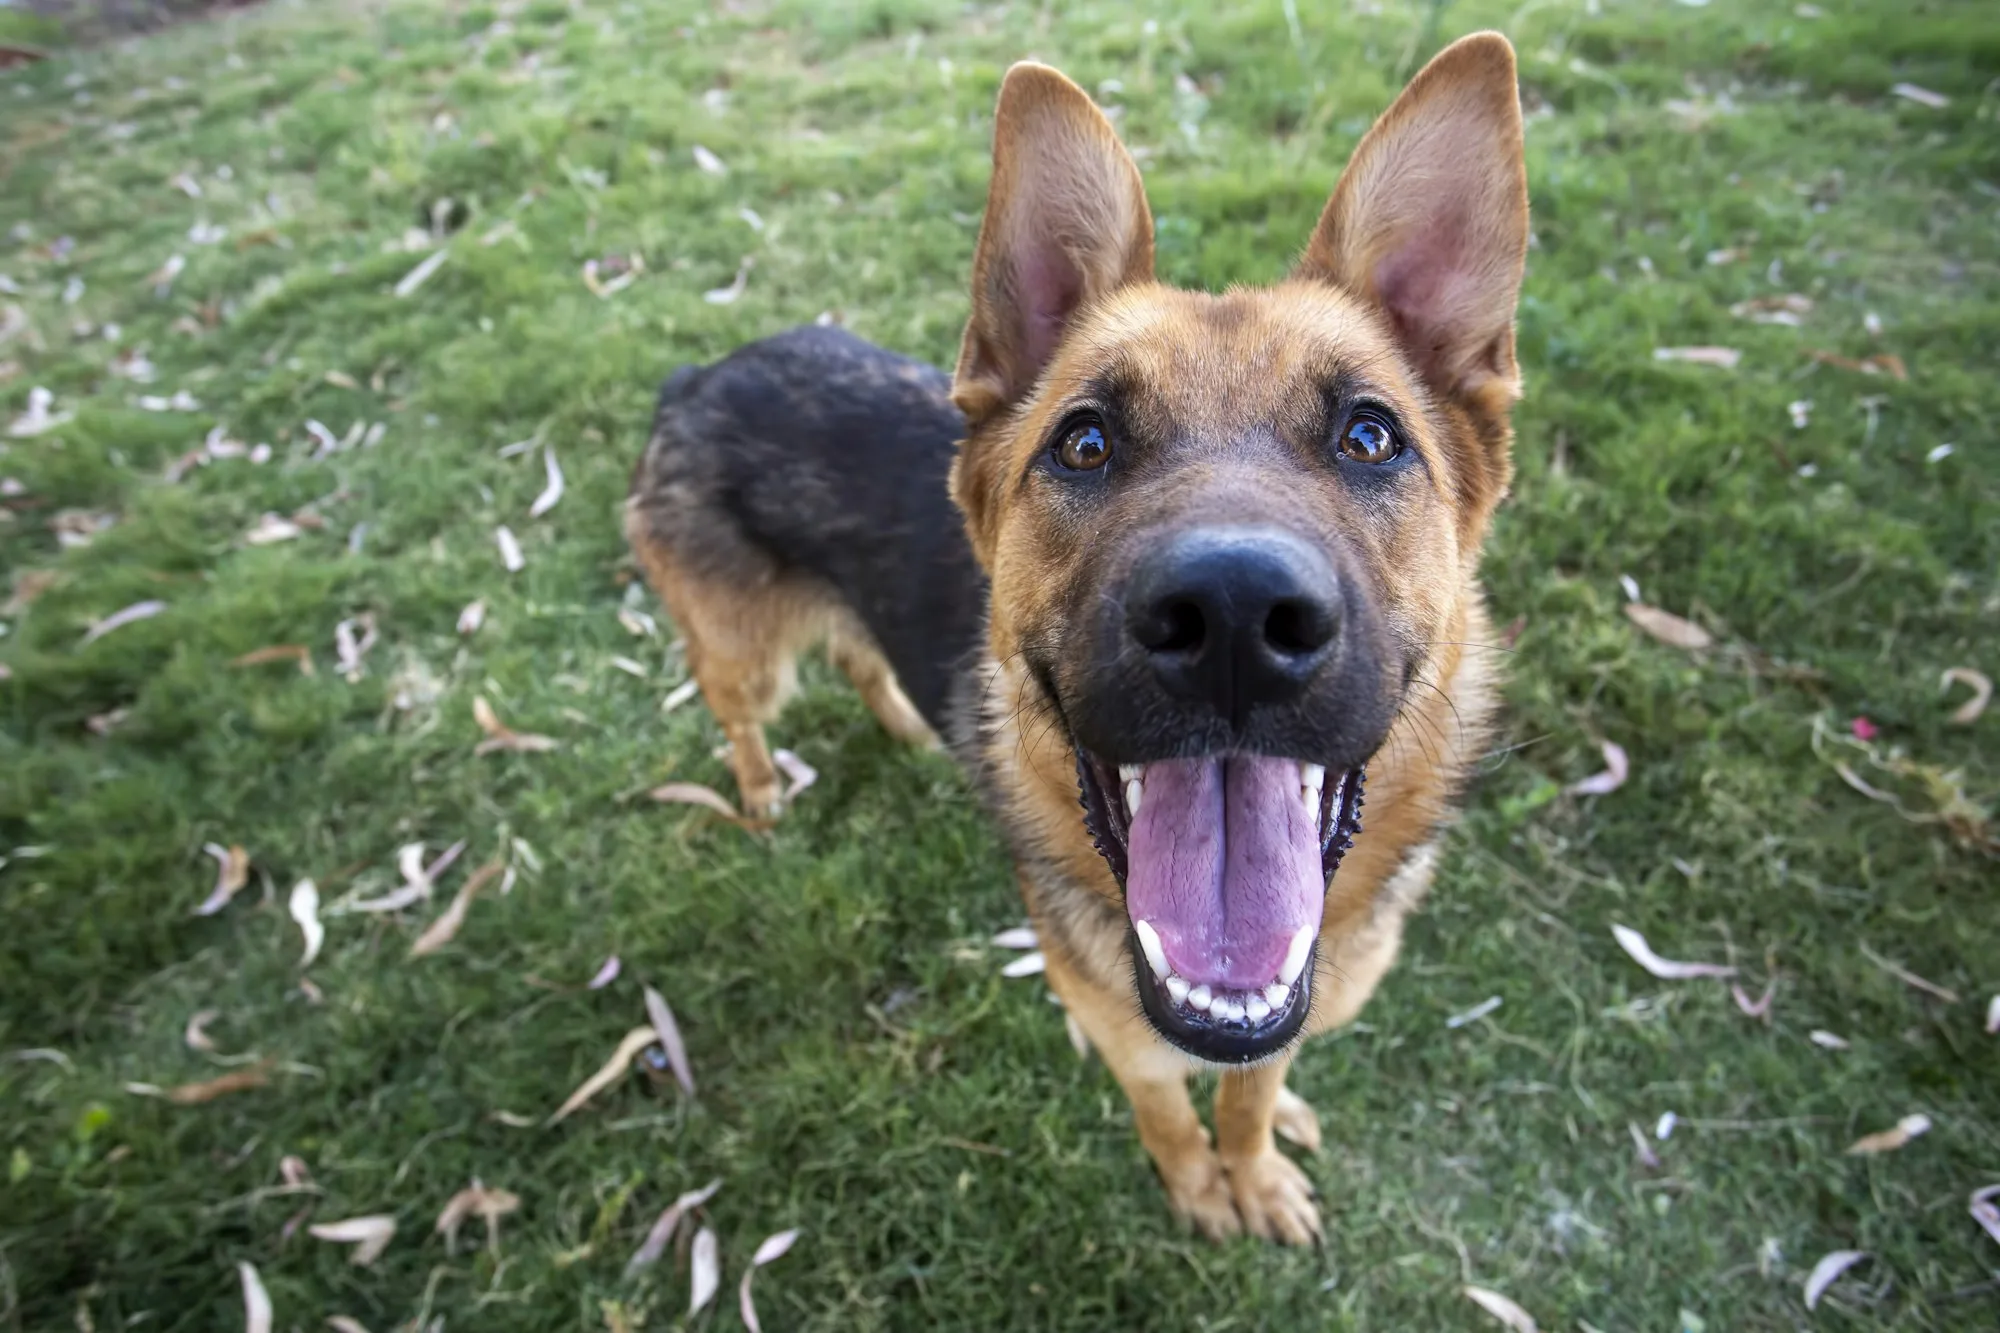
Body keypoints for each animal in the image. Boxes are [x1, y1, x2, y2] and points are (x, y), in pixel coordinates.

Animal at [628, 33, 1528, 1232]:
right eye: (1085, 443)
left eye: (1370, 436)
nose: (1234, 618)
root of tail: (700, 372)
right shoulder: (1120, 1034)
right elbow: (1168, 1112)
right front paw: (1203, 1190)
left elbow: (1250, 1093)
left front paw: (1254, 1161)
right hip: (744, 658)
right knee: (741, 715)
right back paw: (765, 789)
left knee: (862, 652)